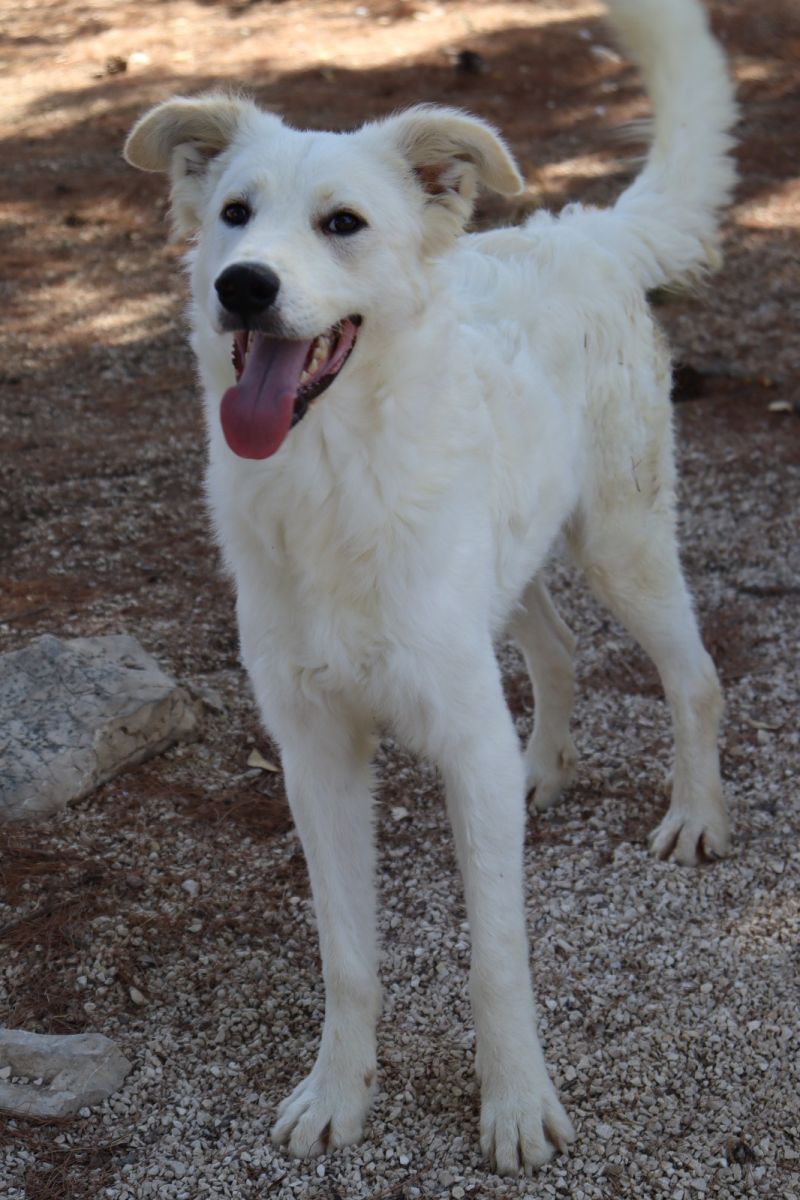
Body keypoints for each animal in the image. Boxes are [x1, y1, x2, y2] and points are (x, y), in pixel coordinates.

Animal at [126, 0, 738, 1176]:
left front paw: (515, 1105)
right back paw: (542, 767)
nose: (242, 285)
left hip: (622, 543)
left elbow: (496, 957)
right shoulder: (315, 754)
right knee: (557, 652)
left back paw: (693, 816)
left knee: (694, 678)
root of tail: (576, 229)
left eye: (342, 224)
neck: (331, 482)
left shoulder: (456, 729)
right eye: (234, 215)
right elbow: (346, 957)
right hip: (514, 568)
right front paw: (337, 1095)